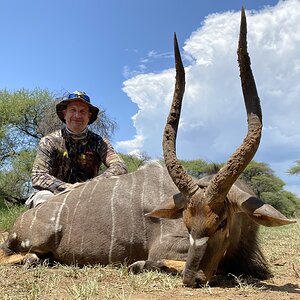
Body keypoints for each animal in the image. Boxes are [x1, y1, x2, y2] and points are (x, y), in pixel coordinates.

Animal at [0, 8, 296, 288]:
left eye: (222, 222)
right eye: (187, 223)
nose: (193, 278)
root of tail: (22, 221)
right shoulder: (167, 247)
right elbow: (158, 260)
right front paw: (138, 264)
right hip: (31, 242)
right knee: (17, 255)